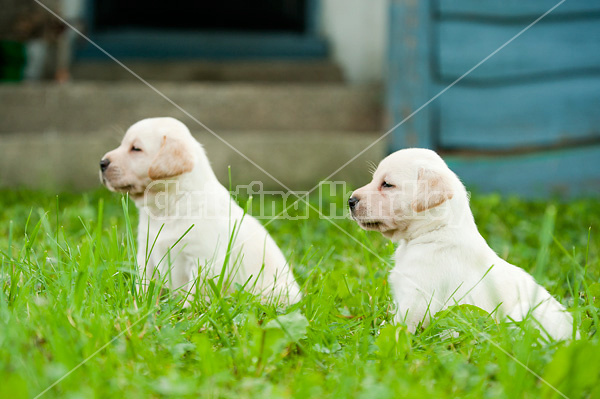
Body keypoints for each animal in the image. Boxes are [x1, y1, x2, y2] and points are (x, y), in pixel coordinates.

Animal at [100, 117, 302, 304]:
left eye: (136, 149)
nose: (102, 163)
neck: (169, 206)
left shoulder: (202, 261)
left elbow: (194, 294)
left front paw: (185, 312)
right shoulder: (146, 253)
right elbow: (143, 283)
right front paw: (138, 304)